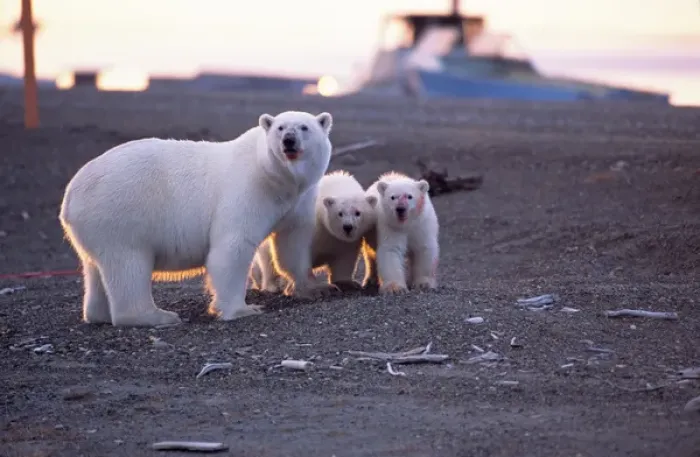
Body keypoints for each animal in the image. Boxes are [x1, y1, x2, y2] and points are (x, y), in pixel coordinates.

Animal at [59, 110, 335, 327]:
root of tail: (71, 195)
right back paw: (158, 316)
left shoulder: (298, 199)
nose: (289, 141)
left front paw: (315, 288)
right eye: (280, 128)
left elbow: (292, 242)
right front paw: (243, 309)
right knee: (128, 265)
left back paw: (98, 314)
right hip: (119, 214)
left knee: (95, 269)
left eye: (304, 127)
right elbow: (232, 247)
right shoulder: (248, 190)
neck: (275, 177)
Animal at [250, 170, 378, 292]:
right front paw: (315, 286)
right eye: (340, 213)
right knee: (267, 262)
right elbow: (292, 251)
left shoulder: (343, 242)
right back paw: (273, 285)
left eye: (358, 212)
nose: (347, 227)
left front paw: (347, 283)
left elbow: (344, 259)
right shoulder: (305, 222)